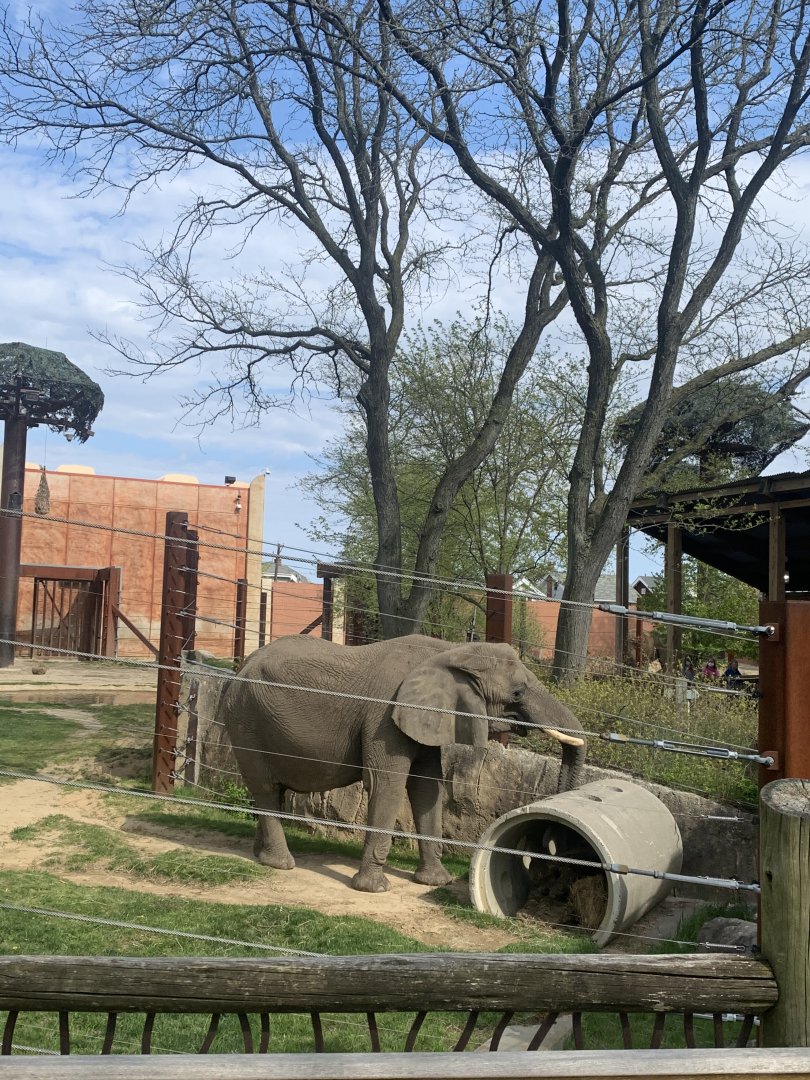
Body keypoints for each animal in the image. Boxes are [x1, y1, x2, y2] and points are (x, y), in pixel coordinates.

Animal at [218, 634, 586, 893]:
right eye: (518, 693)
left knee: (273, 790)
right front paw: (373, 889)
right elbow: (387, 783)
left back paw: (260, 855)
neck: (453, 651)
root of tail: (237, 670)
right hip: (246, 720)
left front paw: (436, 882)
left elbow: (428, 788)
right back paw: (280, 863)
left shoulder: (426, 717)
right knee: (266, 788)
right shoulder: (384, 719)